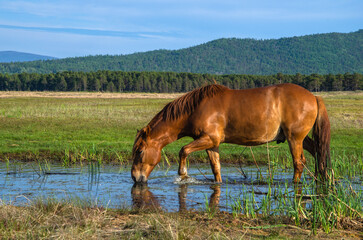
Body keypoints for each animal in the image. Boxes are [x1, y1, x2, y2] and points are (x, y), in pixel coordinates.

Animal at [132, 83, 332, 183]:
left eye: (140, 151)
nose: (135, 178)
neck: (197, 107)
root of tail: (313, 96)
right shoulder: (212, 144)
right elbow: (216, 167)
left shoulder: (208, 139)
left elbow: (183, 150)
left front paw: (182, 173)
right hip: (301, 139)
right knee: (317, 153)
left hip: (294, 139)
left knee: (299, 163)